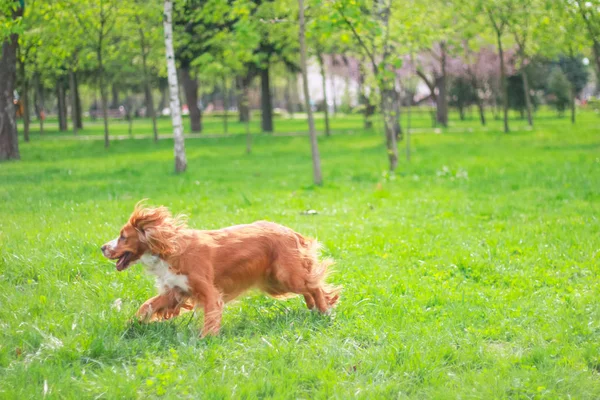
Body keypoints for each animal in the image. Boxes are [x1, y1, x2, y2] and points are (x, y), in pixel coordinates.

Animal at [101, 202, 340, 336]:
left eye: (123, 237)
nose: (102, 247)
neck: (170, 249)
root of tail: (291, 232)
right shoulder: (175, 291)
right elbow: (147, 305)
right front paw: (132, 324)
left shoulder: (209, 291)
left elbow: (210, 316)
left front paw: (206, 339)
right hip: (275, 282)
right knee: (311, 286)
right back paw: (314, 307)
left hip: (286, 276)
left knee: (314, 286)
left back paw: (325, 311)